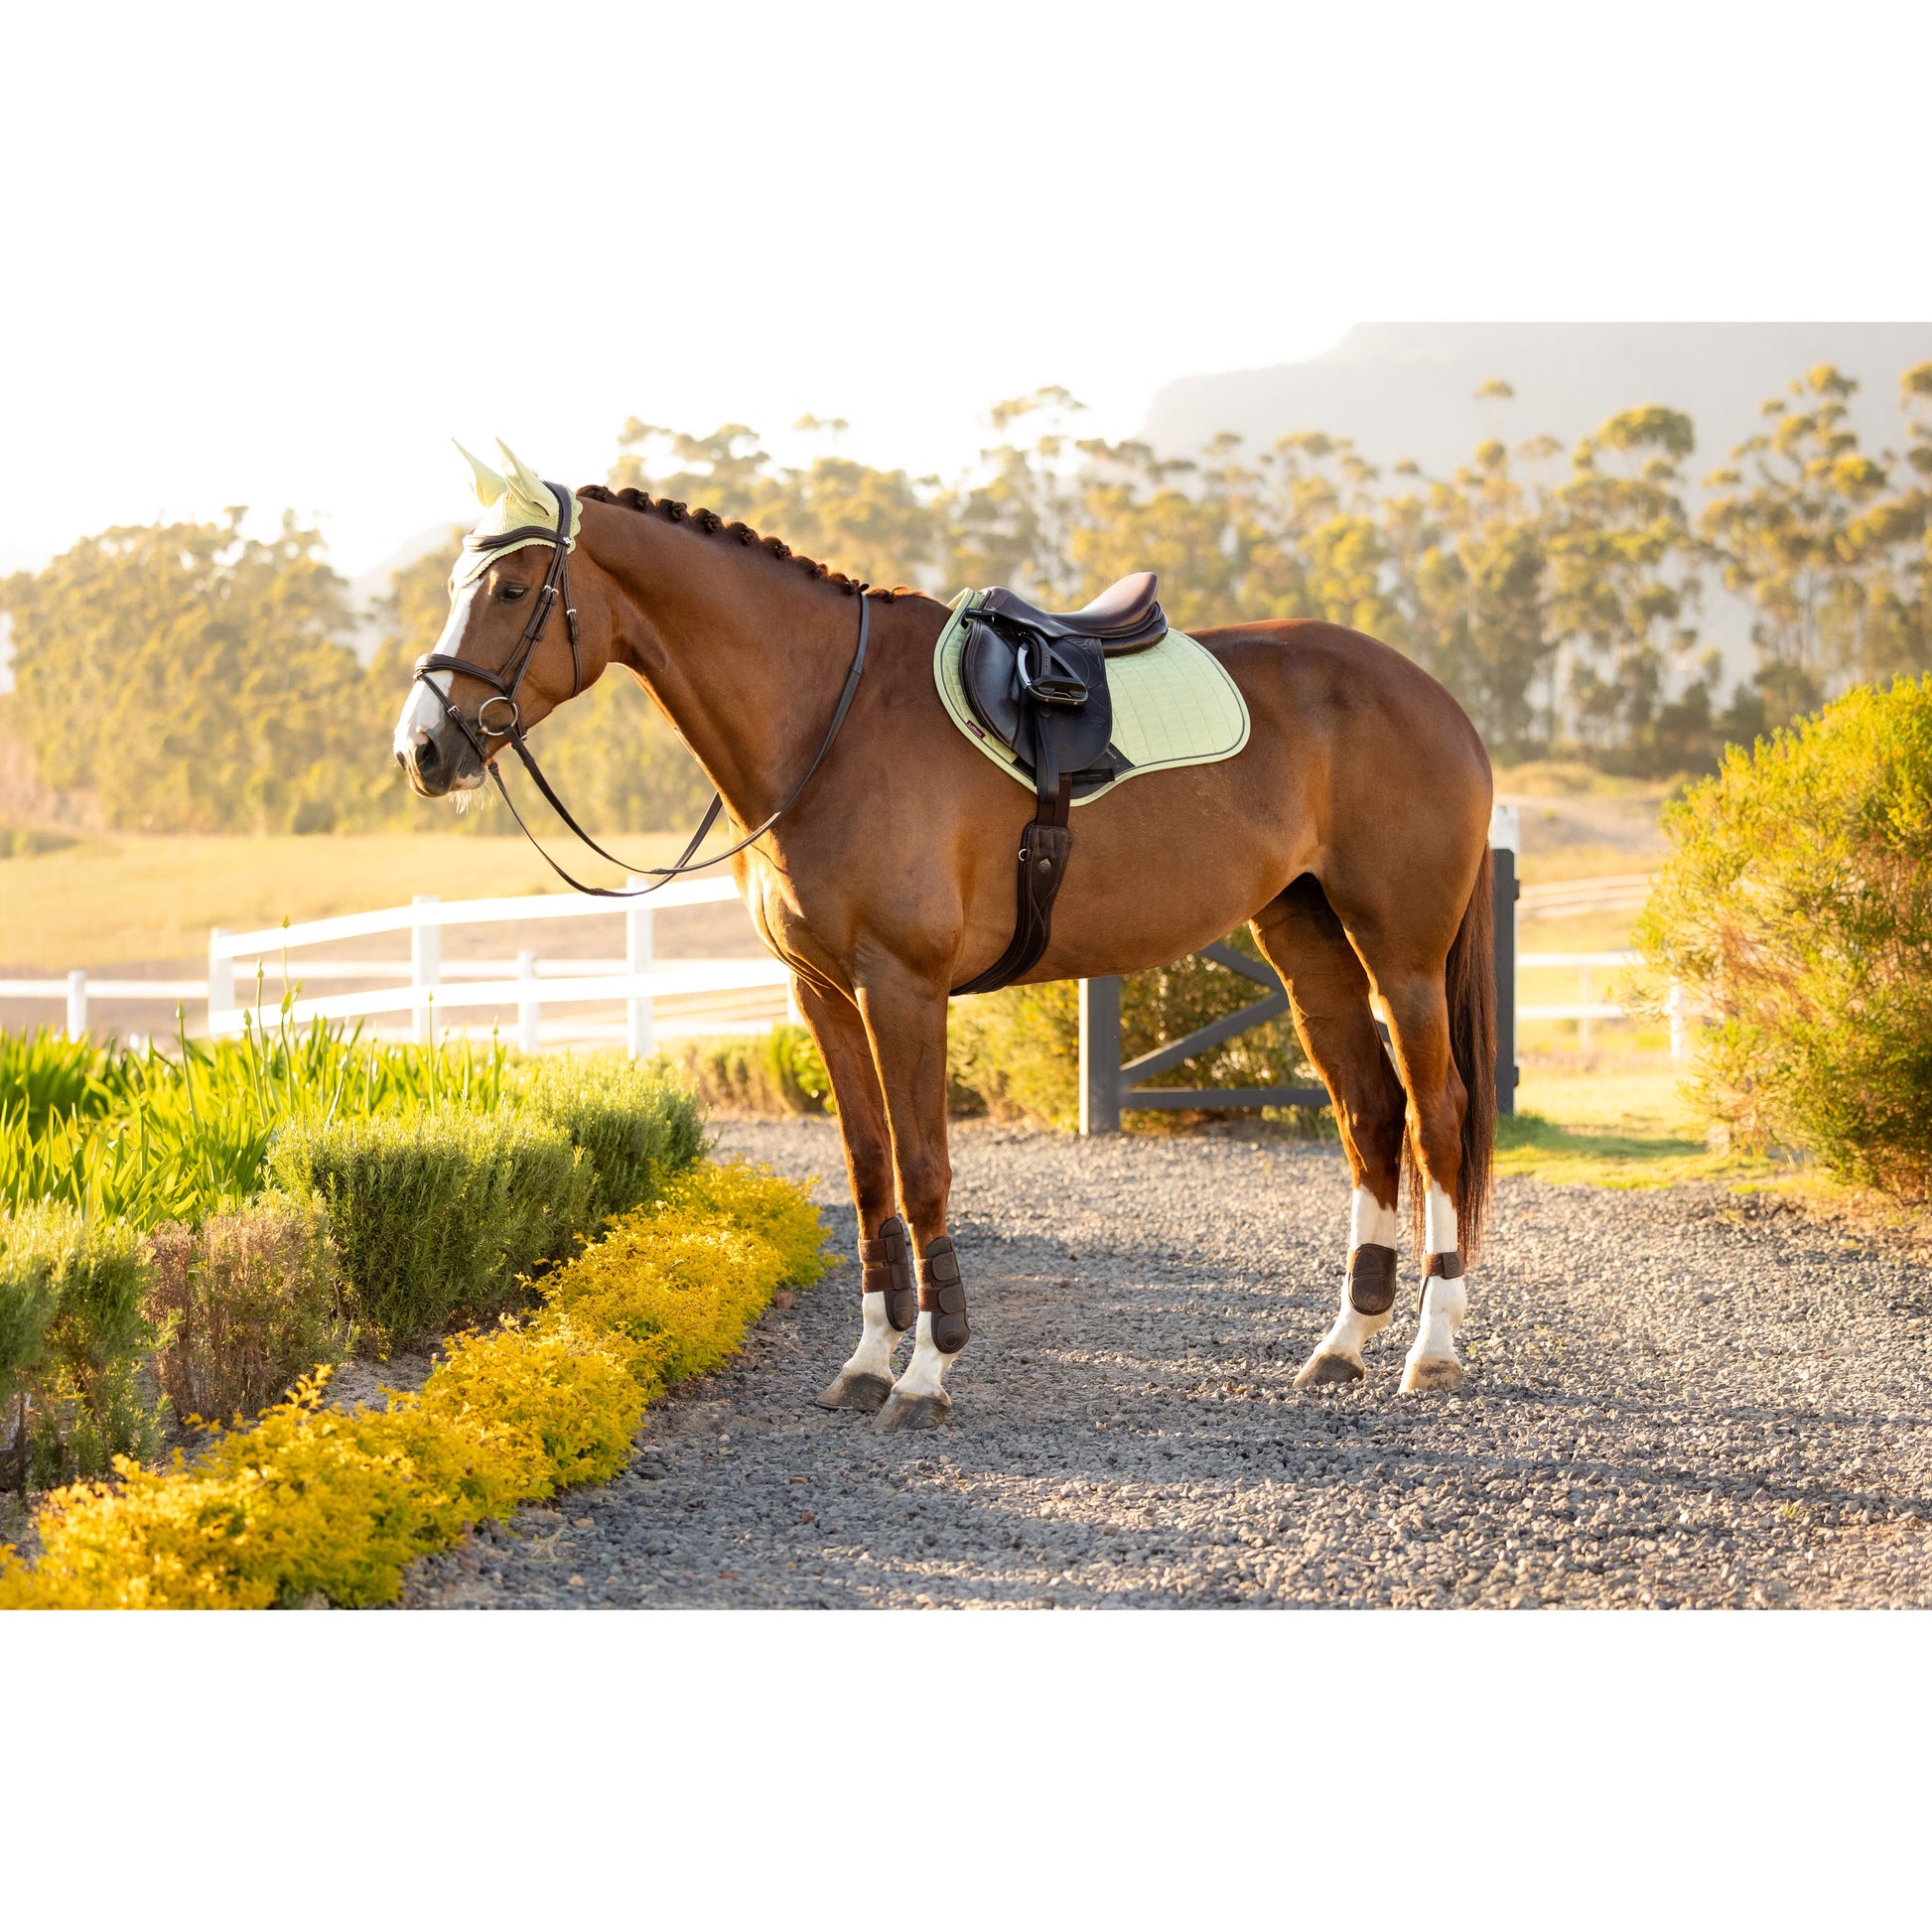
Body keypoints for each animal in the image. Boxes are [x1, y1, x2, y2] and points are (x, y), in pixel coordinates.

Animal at [395, 442, 1496, 1432]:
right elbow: (869, 1166)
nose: (423, 749)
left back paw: (1432, 1350)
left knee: (1435, 1114)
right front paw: (864, 1364)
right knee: (1369, 1110)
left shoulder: (903, 986)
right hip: (1303, 936)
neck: (826, 721)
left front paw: (926, 1371)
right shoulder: (821, 992)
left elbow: (924, 1169)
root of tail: (1435, 695)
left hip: (1399, 953)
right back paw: (1343, 1345)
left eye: (512, 587)